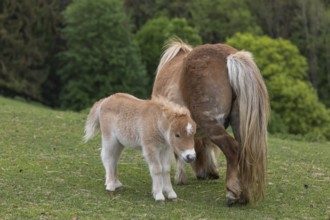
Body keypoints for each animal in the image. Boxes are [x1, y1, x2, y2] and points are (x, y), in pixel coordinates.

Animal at [153, 38, 270, 205]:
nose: (204, 174)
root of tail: (230, 57)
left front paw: (180, 178)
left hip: (211, 123)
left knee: (232, 148)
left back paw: (232, 193)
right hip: (238, 125)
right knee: (243, 151)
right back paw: (243, 195)